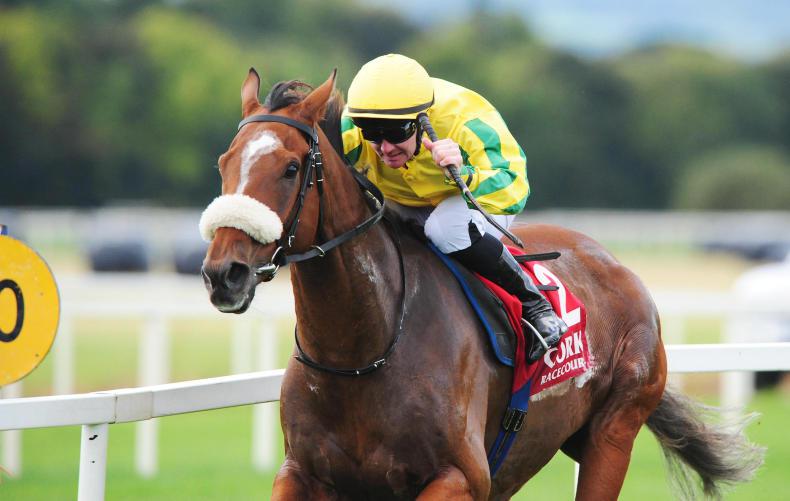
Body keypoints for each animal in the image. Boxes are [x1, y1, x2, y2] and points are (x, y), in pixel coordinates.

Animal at [200, 69, 763, 500]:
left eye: (291, 167)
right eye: (225, 162)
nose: (223, 273)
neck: (362, 353)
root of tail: (618, 267)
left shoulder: (461, 475)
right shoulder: (302, 474)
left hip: (612, 432)